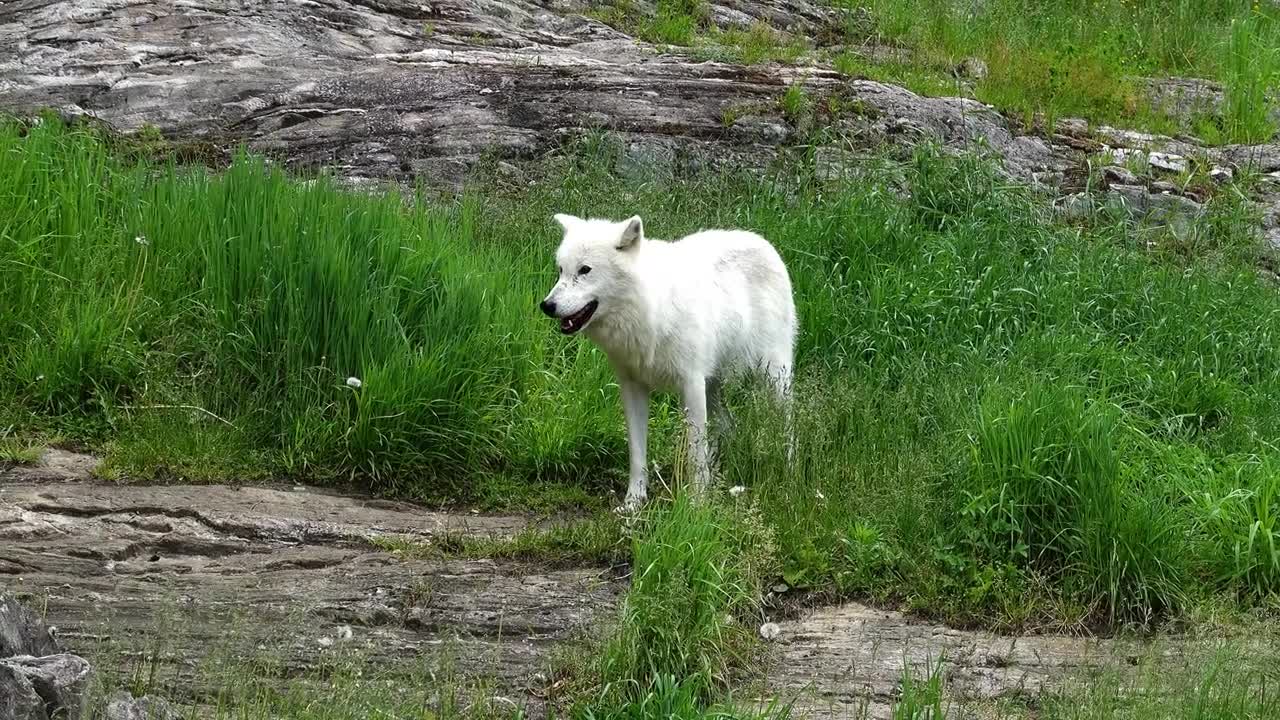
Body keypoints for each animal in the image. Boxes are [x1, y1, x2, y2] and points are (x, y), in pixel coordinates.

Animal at [535, 210, 793, 507]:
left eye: (584, 270)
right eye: (561, 270)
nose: (547, 306)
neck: (649, 310)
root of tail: (763, 242)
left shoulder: (691, 384)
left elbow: (694, 454)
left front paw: (696, 504)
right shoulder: (632, 387)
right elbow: (637, 452)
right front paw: (633, 502)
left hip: (774, 378)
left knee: (786, 427)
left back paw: (786, 472)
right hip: (714, 386)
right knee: (727, 425)